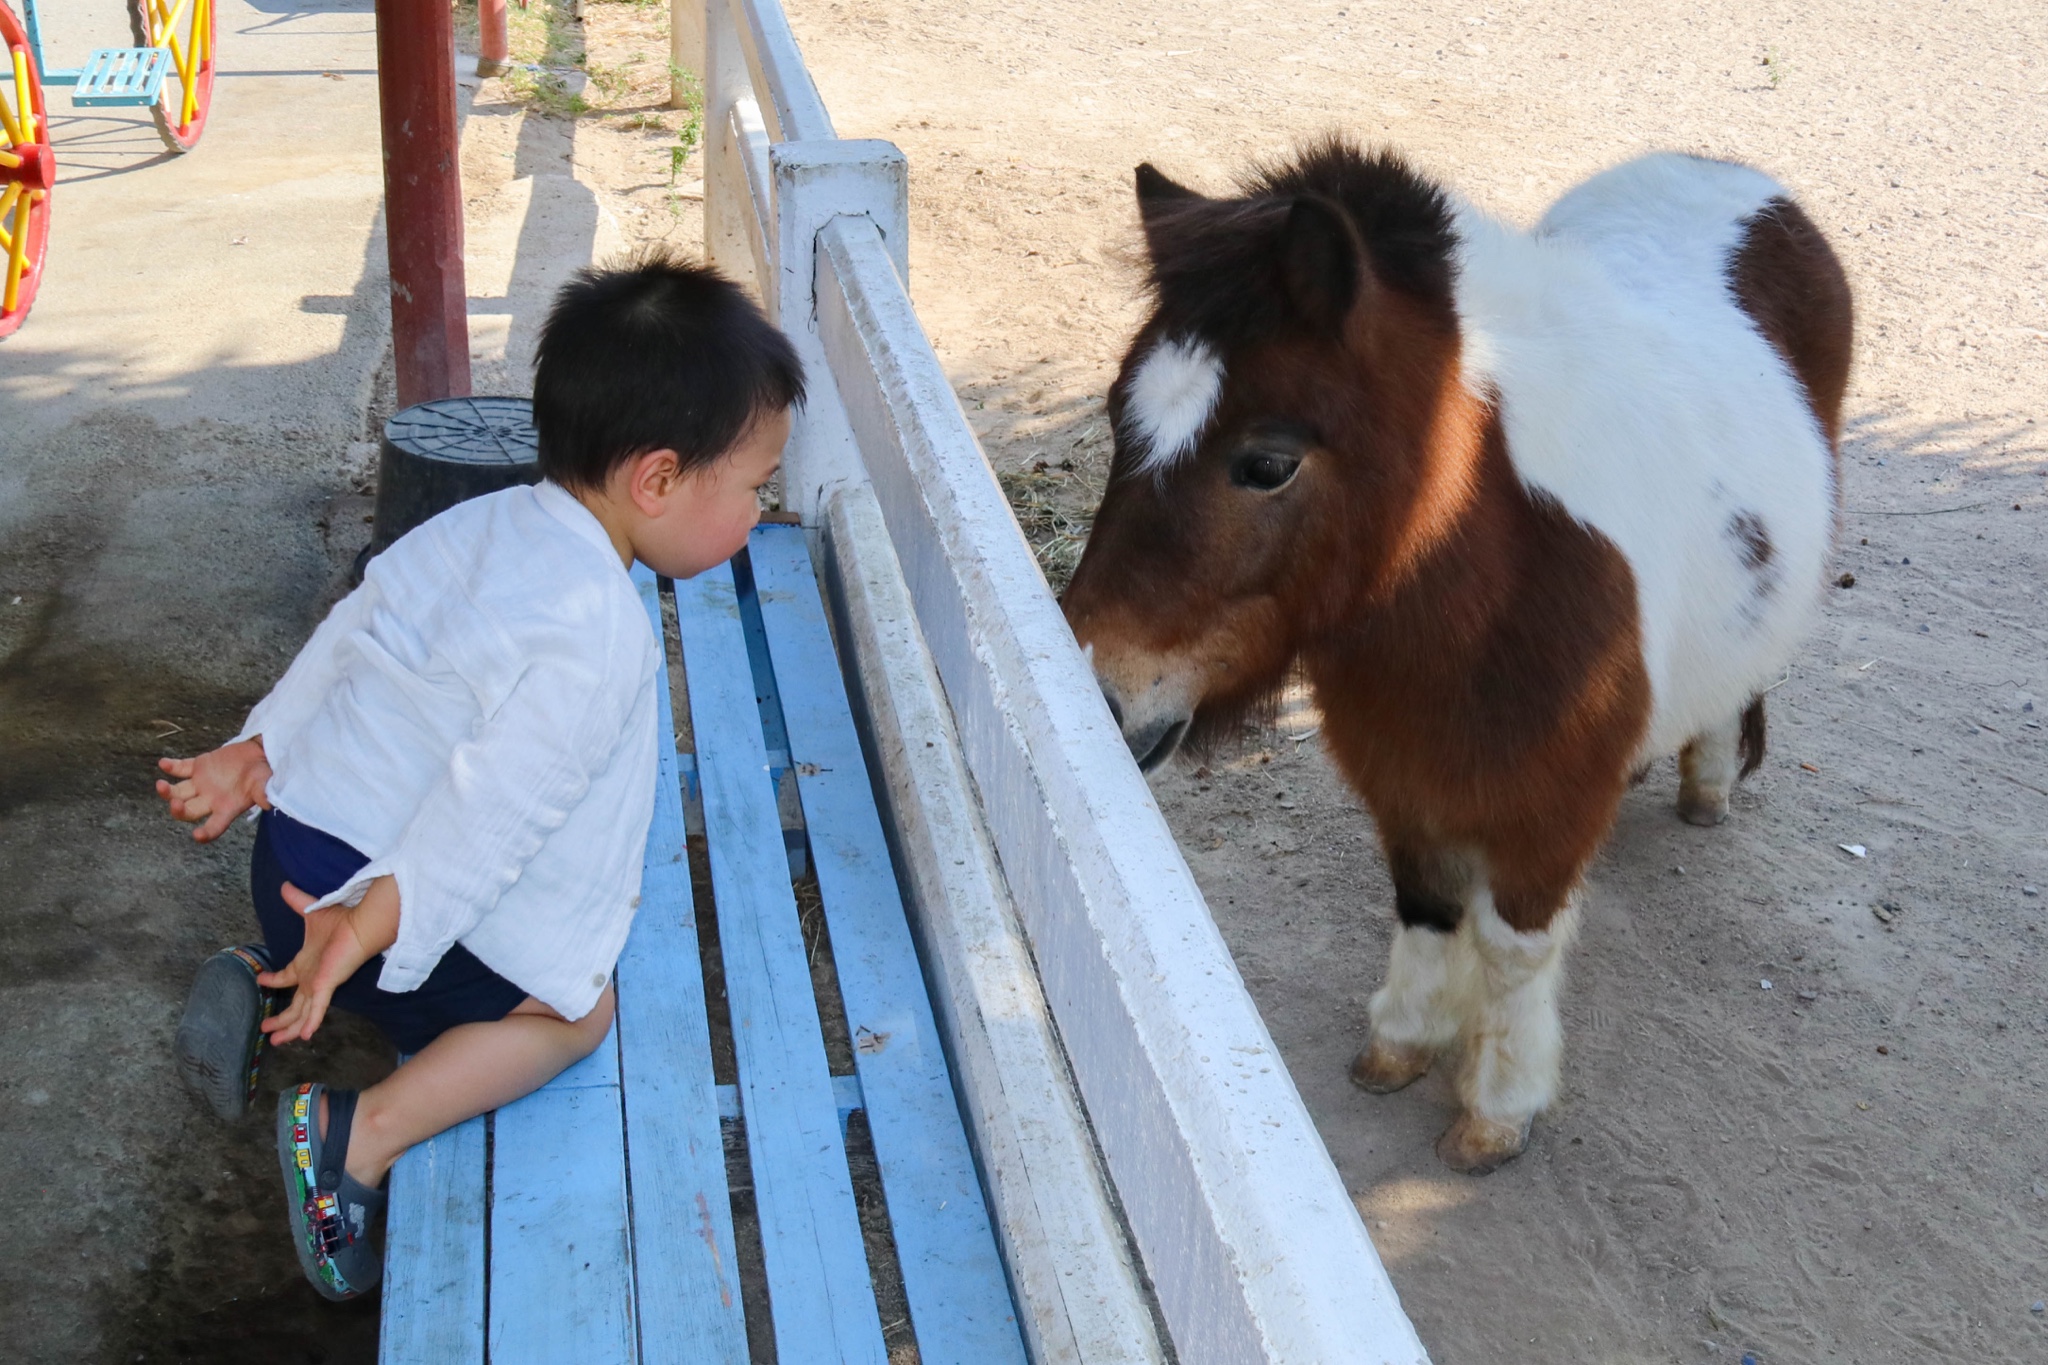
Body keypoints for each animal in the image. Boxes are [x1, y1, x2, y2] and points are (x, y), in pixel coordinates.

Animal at [1064, 141, 1851, 1178]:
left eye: (1267, 463)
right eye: (1119, 418)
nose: (1098, 693)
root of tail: (1735, 177)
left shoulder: (1549, 814)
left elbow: (1516, 951)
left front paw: (1498, 1109)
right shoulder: (1403, 775)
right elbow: (1426, 904)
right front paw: (1402, 1041)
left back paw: (1707, 784)